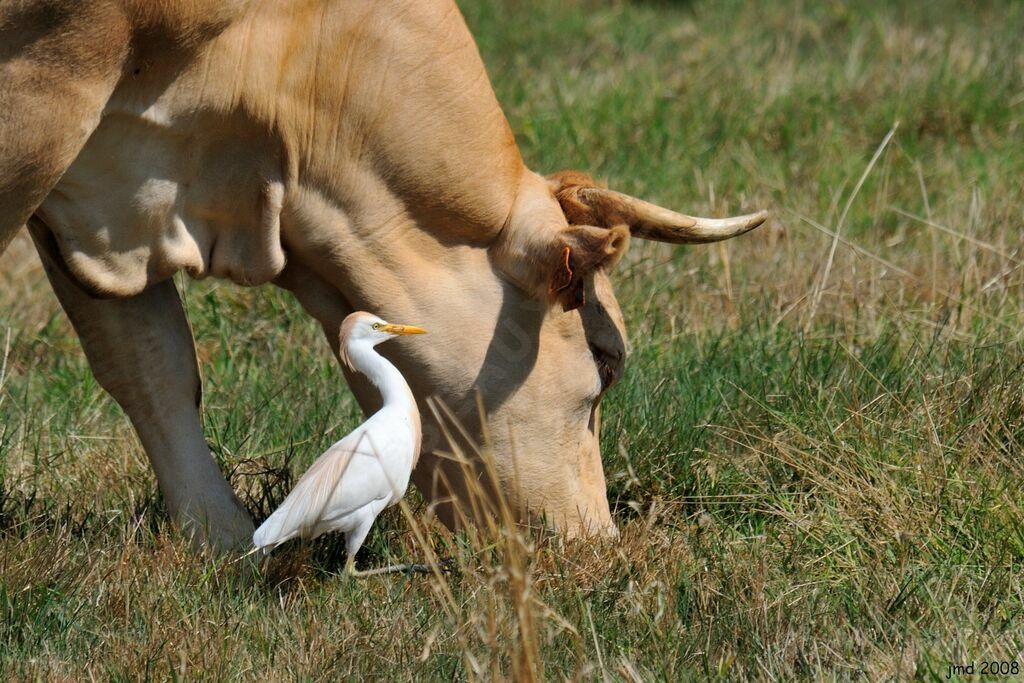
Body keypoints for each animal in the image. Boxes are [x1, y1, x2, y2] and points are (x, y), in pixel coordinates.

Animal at [2, 0, 770, 552]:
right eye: (607, 362)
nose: (597, 543)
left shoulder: (100, 206)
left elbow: (150, 366)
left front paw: (219, 542)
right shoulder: (46, 95)